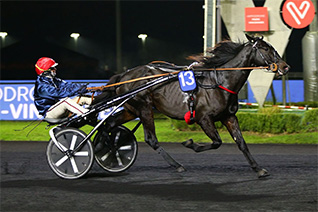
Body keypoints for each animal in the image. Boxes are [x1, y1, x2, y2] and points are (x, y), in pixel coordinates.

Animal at [94, 34, 288, 177]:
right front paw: (190, 143)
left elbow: (241, 143)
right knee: (150, 139)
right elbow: (216, 142)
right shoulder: (204, 118)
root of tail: (124, 75)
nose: (285, 66)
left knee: (108, 124)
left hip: (131, 110)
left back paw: (105, 148)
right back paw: (177, 165)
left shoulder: (229, 116)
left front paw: (258, 169)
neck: (220, 82)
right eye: (265, 48)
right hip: (144, 108)